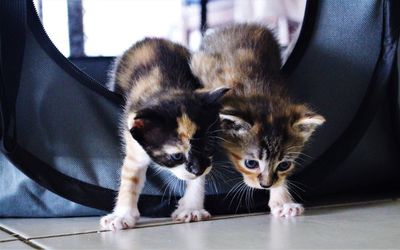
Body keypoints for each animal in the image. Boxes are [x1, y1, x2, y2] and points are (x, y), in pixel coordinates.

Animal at [101, 37, 228, 230]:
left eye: (208, 147)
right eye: (176, 156)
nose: (197, 169)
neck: (166, 86)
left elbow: (199, 179)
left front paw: (192, 208)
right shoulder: (133, 140)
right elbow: (130, 178)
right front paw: (122, 215)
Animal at [191, 24, 324, 218]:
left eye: (284, 165)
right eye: (251, 163)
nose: (266, 185)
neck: (259, 94)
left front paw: (283, 201)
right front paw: (191, 207)